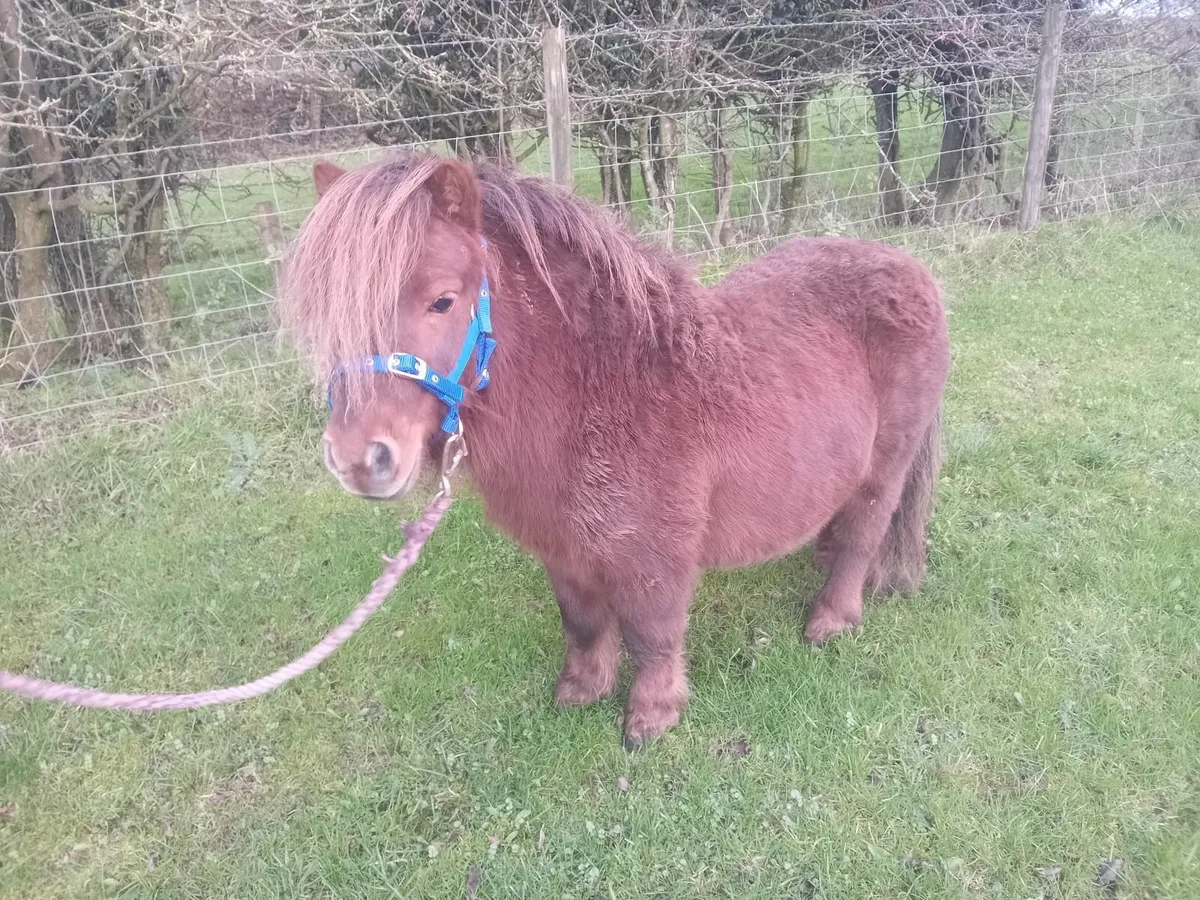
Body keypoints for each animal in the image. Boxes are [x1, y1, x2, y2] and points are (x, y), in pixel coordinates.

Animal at [277, 151, 950, 749]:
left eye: (442, 300)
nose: (360, 459)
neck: (603, 388)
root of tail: (910, 268)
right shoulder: (561, 547)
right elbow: (580, 623)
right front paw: (582, 689)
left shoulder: (656, 558)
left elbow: (652, 635)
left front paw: (651, 716)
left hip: (886, 466)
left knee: (867, 531)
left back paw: (831, 617)